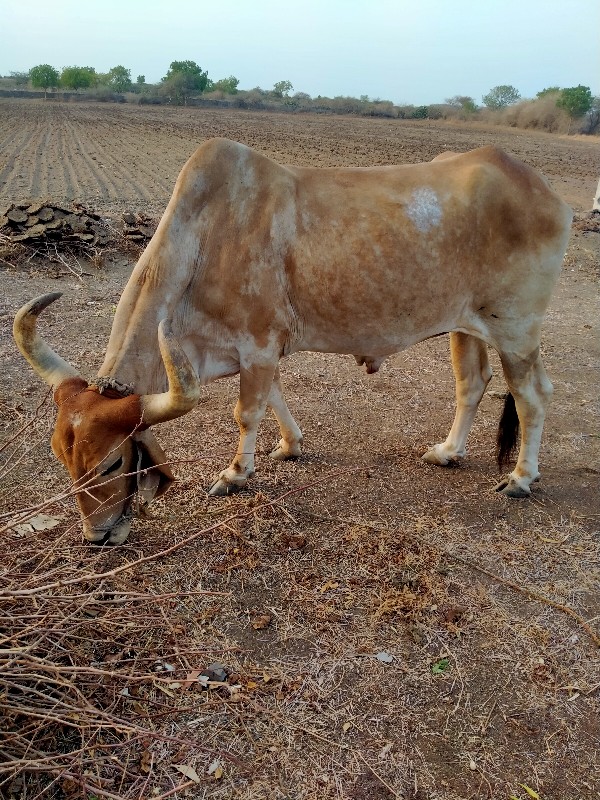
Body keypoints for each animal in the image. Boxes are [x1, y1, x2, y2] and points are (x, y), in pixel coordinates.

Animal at [14, 141, 572, 548]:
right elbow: (274, 399)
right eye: (62, 458)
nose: (97, 534)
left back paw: (521, 478)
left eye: (111, 463)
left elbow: (246, 412)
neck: (205, 238)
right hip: (465, 326)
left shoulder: (258, 346)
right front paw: (290, 445)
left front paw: (236, 473)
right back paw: (449, 452)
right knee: (472, 384)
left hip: (517, 331)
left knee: (532, 396)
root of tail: (544, 192)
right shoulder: (260, 352)